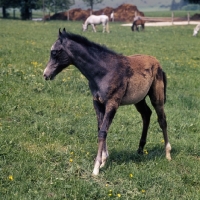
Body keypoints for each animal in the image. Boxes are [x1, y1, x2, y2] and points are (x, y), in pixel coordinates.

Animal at [43, 27, 172, 175]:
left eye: (54, 52)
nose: (45, 74)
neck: (103, 72)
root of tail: (157, 62)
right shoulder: (97, 103)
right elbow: (100, 128)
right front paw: (103, 160)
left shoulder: (112, 103)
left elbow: (103, 131)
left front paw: (96, 168)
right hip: (139, 99)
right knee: (146, 114)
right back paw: (140, 150)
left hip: (157, 97)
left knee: (162, 119)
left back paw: (168, 154)